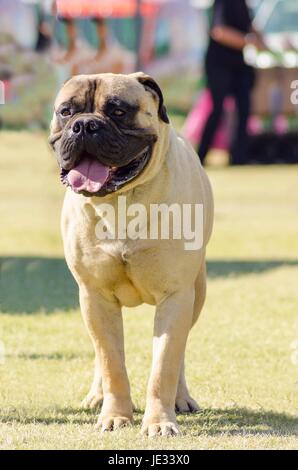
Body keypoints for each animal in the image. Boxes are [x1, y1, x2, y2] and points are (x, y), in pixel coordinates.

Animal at [49, 72, 213, 436]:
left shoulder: (176, 296)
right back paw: (97, 396)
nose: (84, 125)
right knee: (101, 352)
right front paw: (115, 416)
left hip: (197, 293)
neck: (121, 201)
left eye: (119, 112)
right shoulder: (95, 296)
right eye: (66, 111)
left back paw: (181, 398)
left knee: (180, 351)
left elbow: (164, 365)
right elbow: (112, 363)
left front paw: (160, 422)